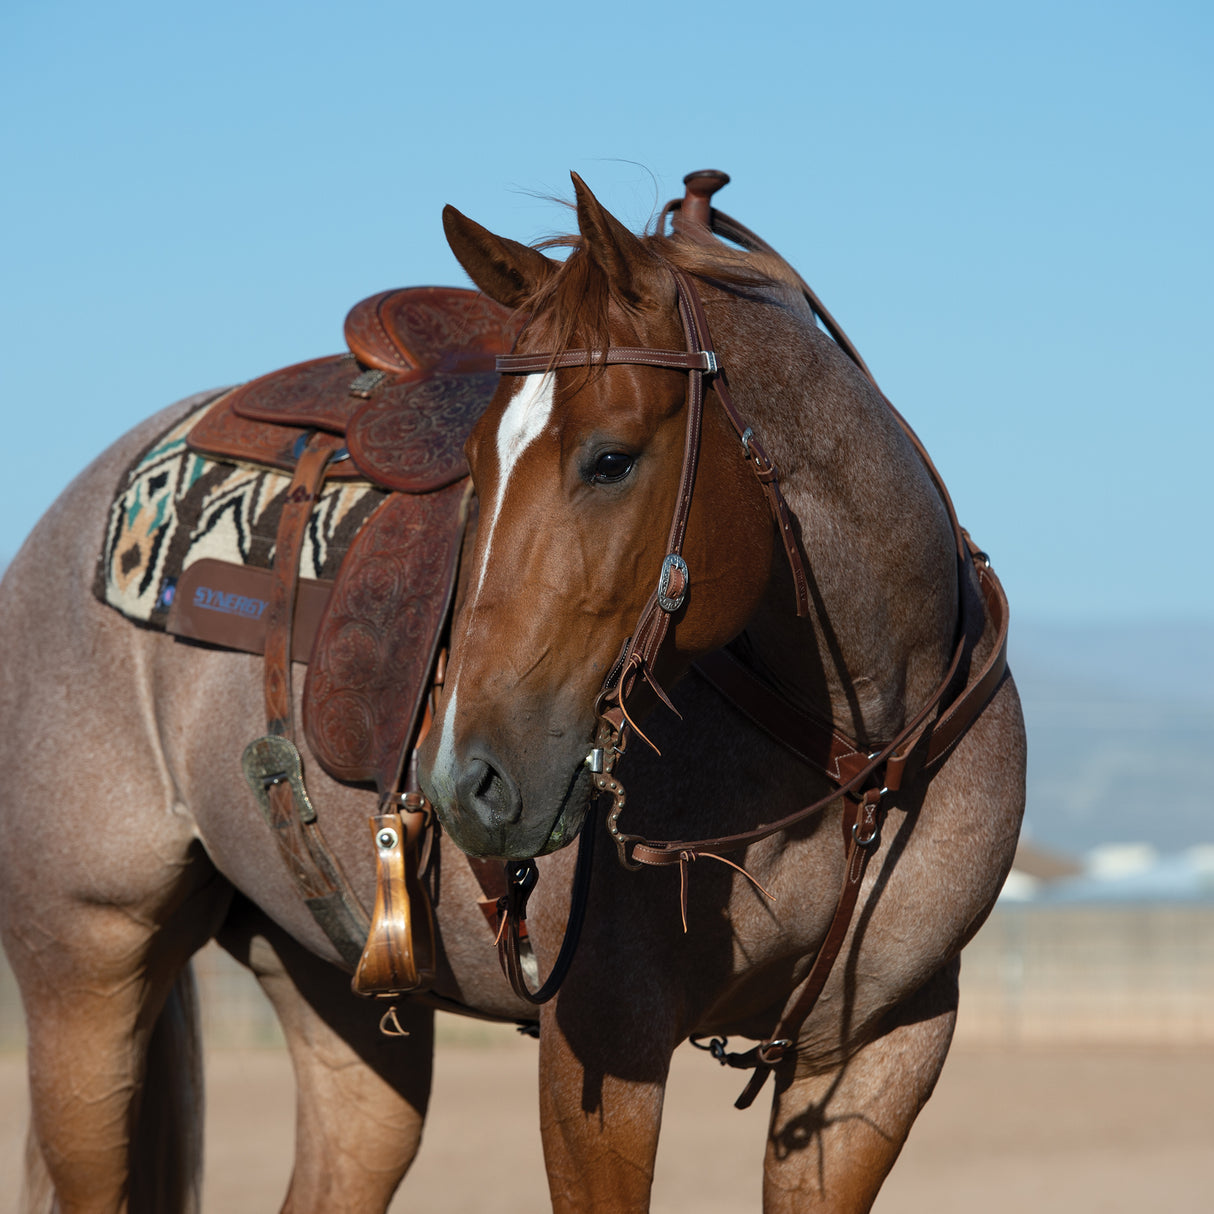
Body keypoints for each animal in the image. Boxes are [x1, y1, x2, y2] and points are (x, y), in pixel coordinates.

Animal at [0, 173, 1024, 1214]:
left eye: (611, 458)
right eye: (476, 464)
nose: (464, 782)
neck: (853, 750)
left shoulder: (875, 1057)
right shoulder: (602, 1048)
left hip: (335, 996)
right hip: (87, 970)